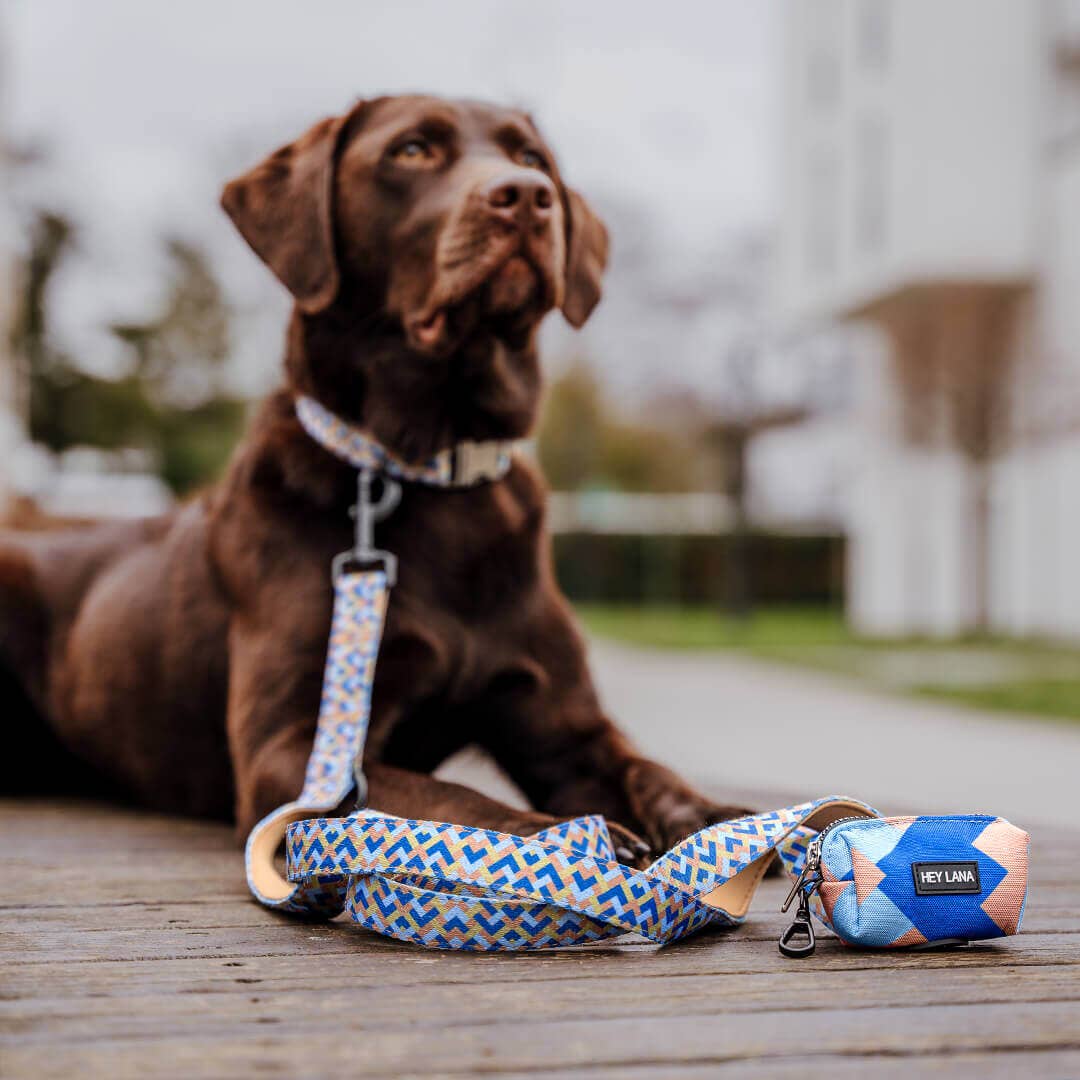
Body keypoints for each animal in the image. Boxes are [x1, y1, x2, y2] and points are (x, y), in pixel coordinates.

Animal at [0, 95, 743, 868]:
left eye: (532, 158)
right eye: (411, 150)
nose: (526, 196)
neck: (434, 465)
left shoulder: (565, 729)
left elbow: (644, 768)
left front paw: (714, 821)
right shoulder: (292, 749)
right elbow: (445, 800)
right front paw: (566, 841)